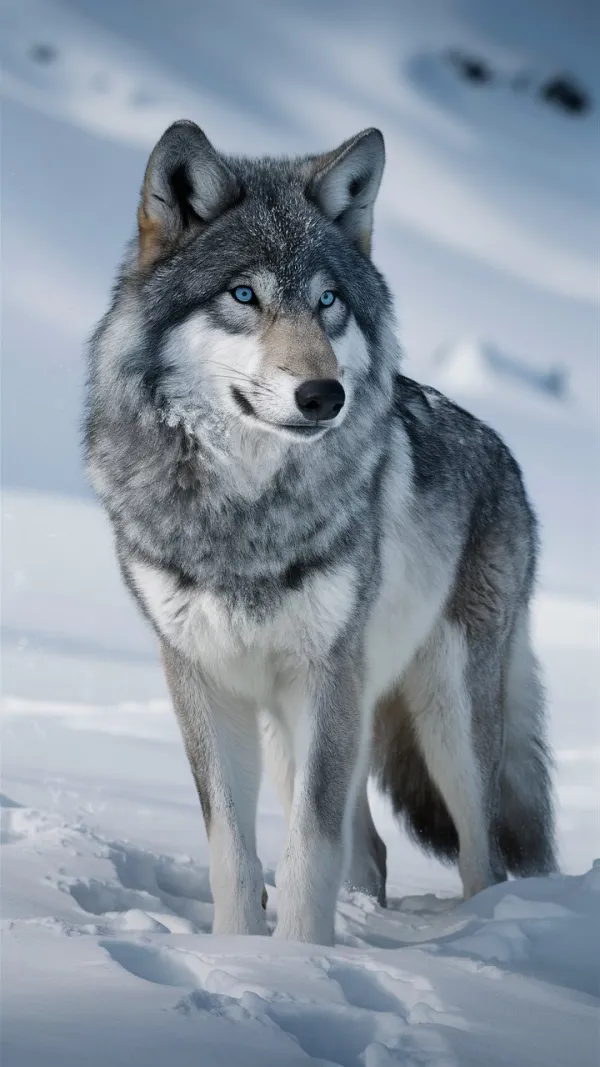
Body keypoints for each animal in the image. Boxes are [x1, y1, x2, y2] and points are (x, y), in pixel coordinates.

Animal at [84, 120, 557, 946]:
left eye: (329, 301)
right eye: (244, 294)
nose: (323, 394)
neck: (244, 515)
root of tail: (506, 457)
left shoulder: (327, 673)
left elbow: (310, 845)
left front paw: (297, 958)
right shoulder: (200, 676)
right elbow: (232, 847)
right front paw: (241, 953)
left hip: (447, 719)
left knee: (483, 855)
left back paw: (481, 937)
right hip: (295, 725)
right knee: (371, 851)